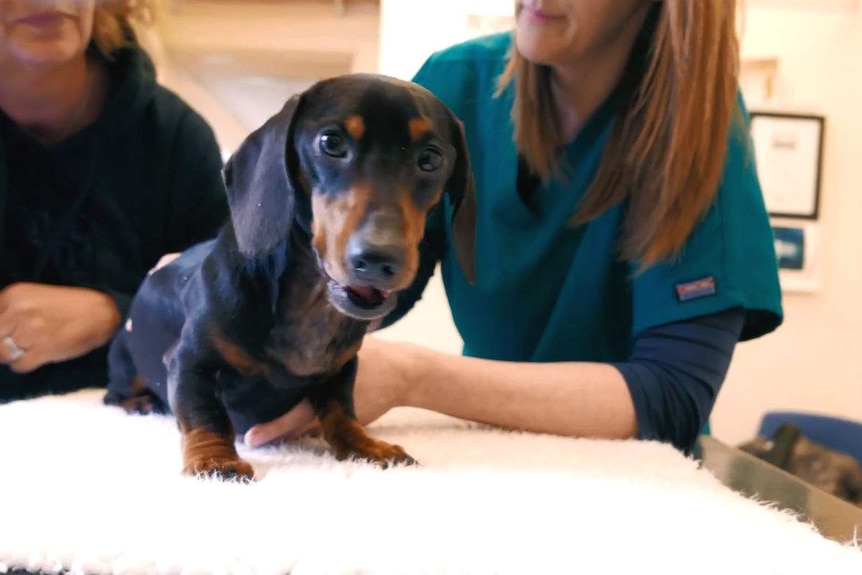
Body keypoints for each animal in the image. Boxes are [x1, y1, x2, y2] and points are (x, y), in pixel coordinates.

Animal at [106, 73, 480, 482]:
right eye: (331, 143)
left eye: (431, 159)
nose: (378, 259)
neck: (312, 302)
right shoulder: (189, 362)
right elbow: (205, 414)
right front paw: (214, 461)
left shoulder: (342, 369)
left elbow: (341, 410)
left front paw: (364, 446)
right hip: (124, 359)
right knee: (113, 394)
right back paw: (141, 403)